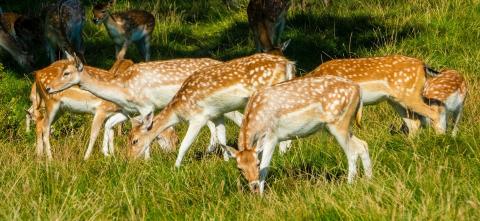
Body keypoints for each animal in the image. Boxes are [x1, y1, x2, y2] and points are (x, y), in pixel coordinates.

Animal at [27, 58, 177, 159]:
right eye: (173, 138)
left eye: (177, 139)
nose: (172, 152)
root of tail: (37, 74)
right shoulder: (101, 109)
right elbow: (94, 134)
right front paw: (87, 158)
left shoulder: (114, 113)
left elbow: (110, 132)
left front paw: (112, 154)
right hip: (51, 102)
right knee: (45, 126)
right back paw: (50, 158)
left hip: (60, 109)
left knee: (40, 122)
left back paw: (39, 155)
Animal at [42, 53, 237, 157]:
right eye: (61, 70)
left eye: (66, 73)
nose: (48, 87)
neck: (122, 88)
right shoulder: (129, 110)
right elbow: (113, 125)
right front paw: (109, 154)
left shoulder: (146, 107)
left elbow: (146, 132)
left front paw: (146, 160)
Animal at [125, 53, 294, 167]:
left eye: (135, 140)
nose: (129, 159)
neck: (179, 109)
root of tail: (288, 64)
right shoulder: (217, 114)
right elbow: (222, 138)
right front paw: (226, 161)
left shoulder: (198, 117)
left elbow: (185, 144)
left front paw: (175, 167)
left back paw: (282, 153)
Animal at [222, 75, 372, 193]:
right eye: (239, 168)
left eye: (257, 164)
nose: (253, 185)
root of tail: (358, 89)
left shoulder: (272, 136)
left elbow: (265, 169)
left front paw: (261, 196)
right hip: (341, 125)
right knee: (362, 145)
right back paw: (369, 179)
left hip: (339, 122)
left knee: (352, 152)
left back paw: (349, 184)